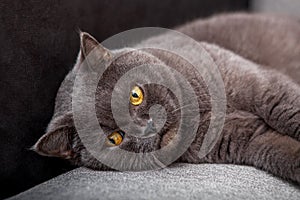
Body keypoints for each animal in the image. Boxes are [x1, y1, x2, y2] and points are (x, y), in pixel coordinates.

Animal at [32, 13, 300, 184]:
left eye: (135, 95)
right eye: (114, 138)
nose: (149, 127)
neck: (198, 112)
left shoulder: (262, 86)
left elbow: (288, 108)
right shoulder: (240, 135)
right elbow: (277, 149)